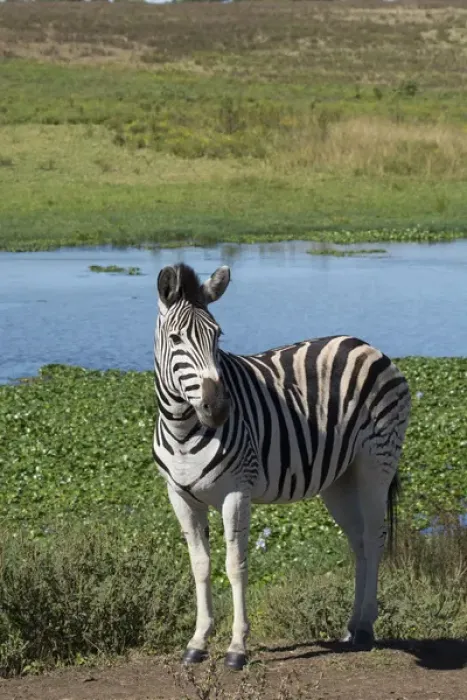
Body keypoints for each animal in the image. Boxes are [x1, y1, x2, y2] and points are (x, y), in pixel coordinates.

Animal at [152, 262, 411, 671]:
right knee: (358, 542)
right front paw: (198, 642)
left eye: (218, 336)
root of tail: (366, 345)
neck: (183, 428)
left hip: (377, 461)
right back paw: (352, 626)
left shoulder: (236, 492)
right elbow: (201, 566)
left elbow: (235, 565)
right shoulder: (179, 496)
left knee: (374, 537)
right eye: (176, 339)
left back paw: (367, 627)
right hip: (340, 479)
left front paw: (237, 648)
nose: (219, 409)